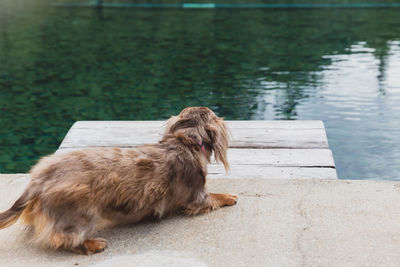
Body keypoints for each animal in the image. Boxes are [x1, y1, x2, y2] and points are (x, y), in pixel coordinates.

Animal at [0, 107, 238, 255]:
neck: (185, 141)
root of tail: (39, 181)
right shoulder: (197, 197)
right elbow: (215, 197)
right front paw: (230, 196)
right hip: (83, 212)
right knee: (61, 238)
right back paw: (92, 244)